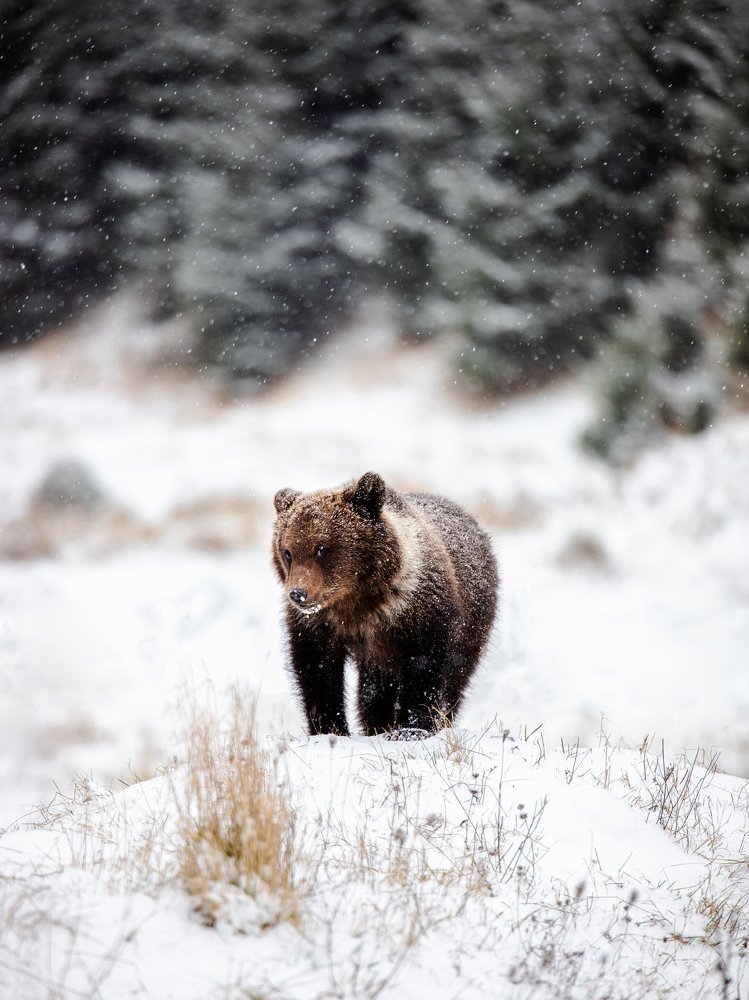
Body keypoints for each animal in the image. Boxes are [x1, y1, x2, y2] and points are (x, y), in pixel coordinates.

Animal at [272, 471, 498, 738]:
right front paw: (330, 728)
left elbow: (425, 666)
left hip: (474, 621)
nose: (298, 594)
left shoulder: (421, 611)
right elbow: (318, 671)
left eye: (322, 548)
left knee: (457, 674)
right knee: (375, 688)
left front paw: (413, 727)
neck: (358, 604)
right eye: (288, 552)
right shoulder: (319, 624)